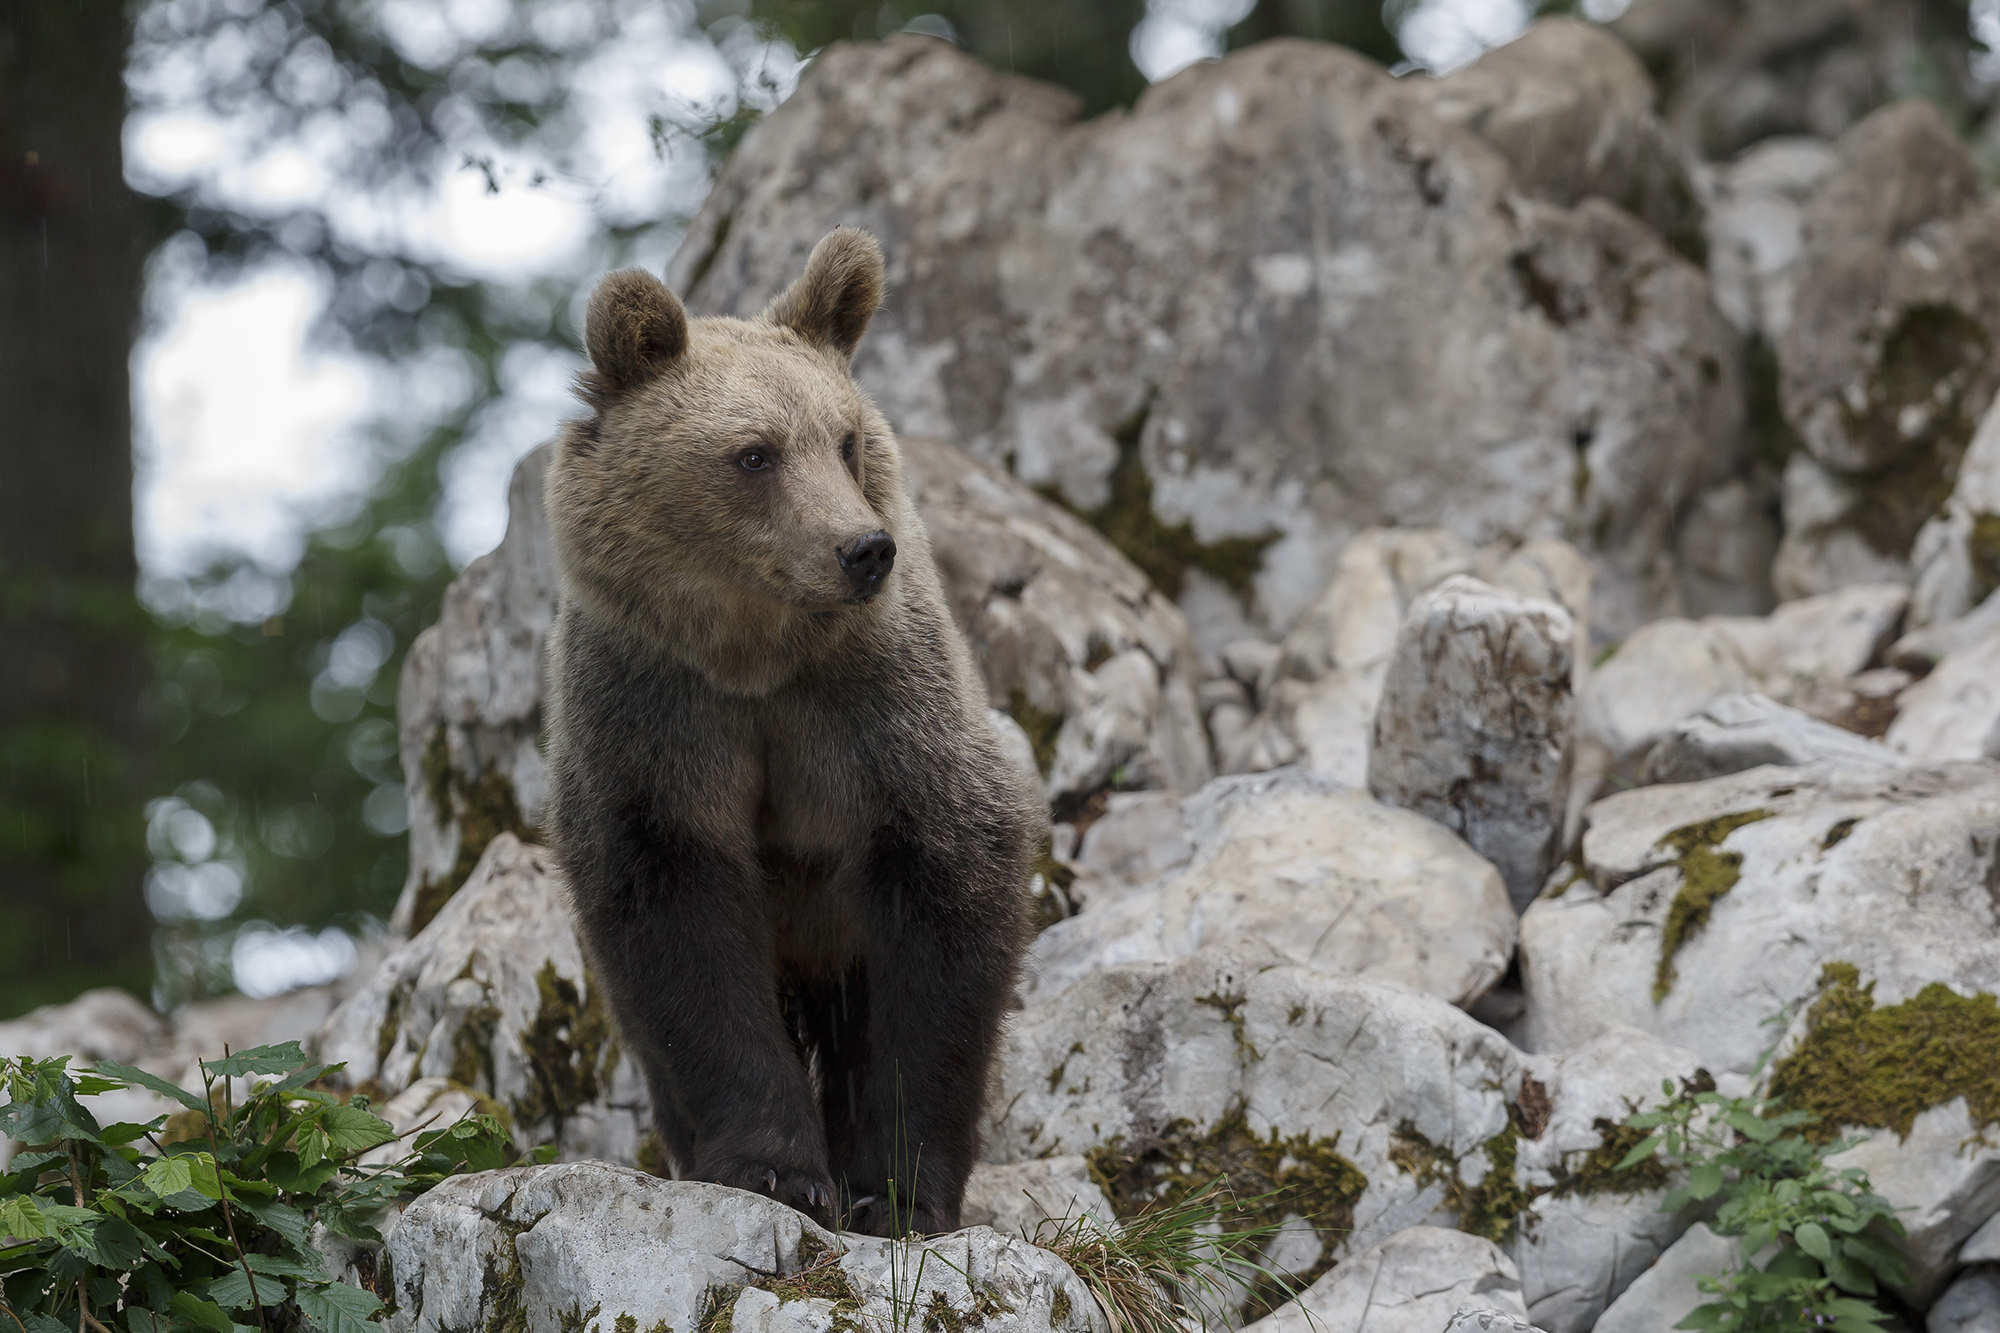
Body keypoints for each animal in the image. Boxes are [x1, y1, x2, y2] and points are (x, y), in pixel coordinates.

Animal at [542, 227, 1039, 1237]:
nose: (863, 548)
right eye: (754, 454)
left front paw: (897, 1186)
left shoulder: (876, 709)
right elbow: (681, 936)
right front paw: (770, 1166)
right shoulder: (654, 715)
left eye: (843, 440)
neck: (755, 658)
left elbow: (946, 910)